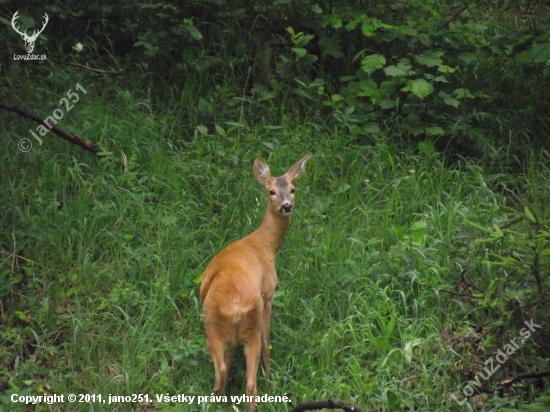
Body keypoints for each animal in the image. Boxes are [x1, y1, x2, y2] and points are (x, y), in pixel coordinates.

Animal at [201, 153, 312, 410]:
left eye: (293, 189)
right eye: (271, 191)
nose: (287, 206)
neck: (264, 245)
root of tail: (233, 306)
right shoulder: (268, 293)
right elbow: (267, 341)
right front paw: (270, 376)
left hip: (219, 326)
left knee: (231, 373)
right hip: (233, 322)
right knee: (243, 375)